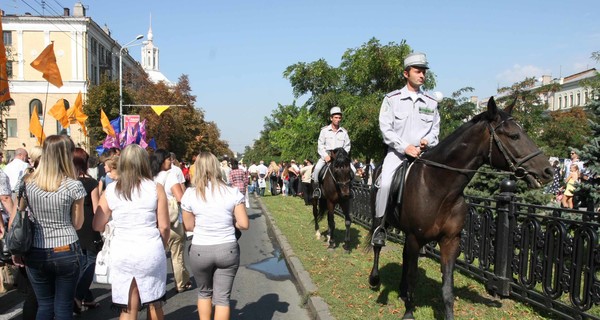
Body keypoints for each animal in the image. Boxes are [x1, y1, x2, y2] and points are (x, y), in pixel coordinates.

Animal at [368, 98, 556, 320]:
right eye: (514, 135)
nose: (548, 170)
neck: (438, 187)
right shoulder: (415, 237)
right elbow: (414, 276)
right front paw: (408, 313)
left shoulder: (449, 241)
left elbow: (447, 289)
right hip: (381, 219)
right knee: (377, 246)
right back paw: (375, 279)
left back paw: (402, 290)